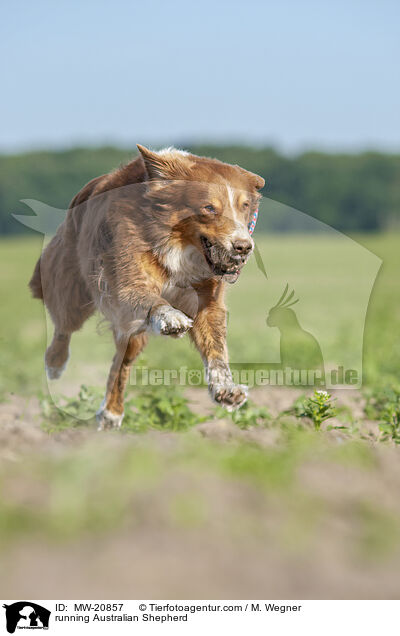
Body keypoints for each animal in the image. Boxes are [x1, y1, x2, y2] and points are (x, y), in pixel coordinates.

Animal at [29, 145, 264, 428]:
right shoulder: (126, 279)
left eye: (245, 206)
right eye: (209, 208)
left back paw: (111, 412)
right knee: (64, 327)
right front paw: (171, 317)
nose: (243, 247)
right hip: (72, 289)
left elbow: (216, 347)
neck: (179, 246)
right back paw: (55, 365)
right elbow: (148, 297)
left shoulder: (208, 300)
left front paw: (226, 389)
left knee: (121, 363)